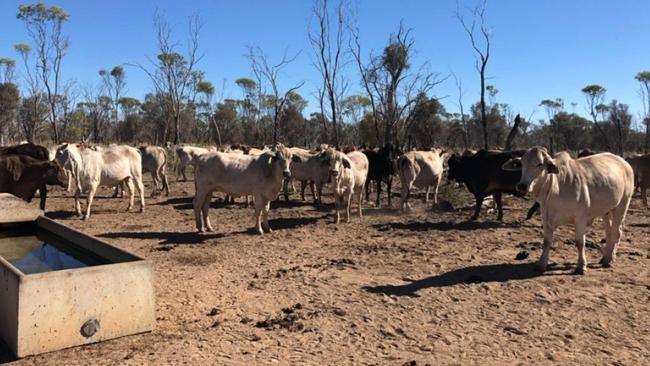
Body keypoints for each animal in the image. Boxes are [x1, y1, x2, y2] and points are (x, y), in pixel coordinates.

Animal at [502, 147, 632, 274]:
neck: (556, 187)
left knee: (617, 232)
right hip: (606, 211)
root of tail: (624, 162)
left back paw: (609, 259)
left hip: (622, 205)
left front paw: (581, 266)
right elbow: (546, 241)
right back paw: (605, 257)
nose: (522, 186)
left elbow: (580, 242)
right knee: (609, 233)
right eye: (522, 164)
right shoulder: (546, 218)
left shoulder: (580, 218)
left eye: (539, 164)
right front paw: (541, 264)